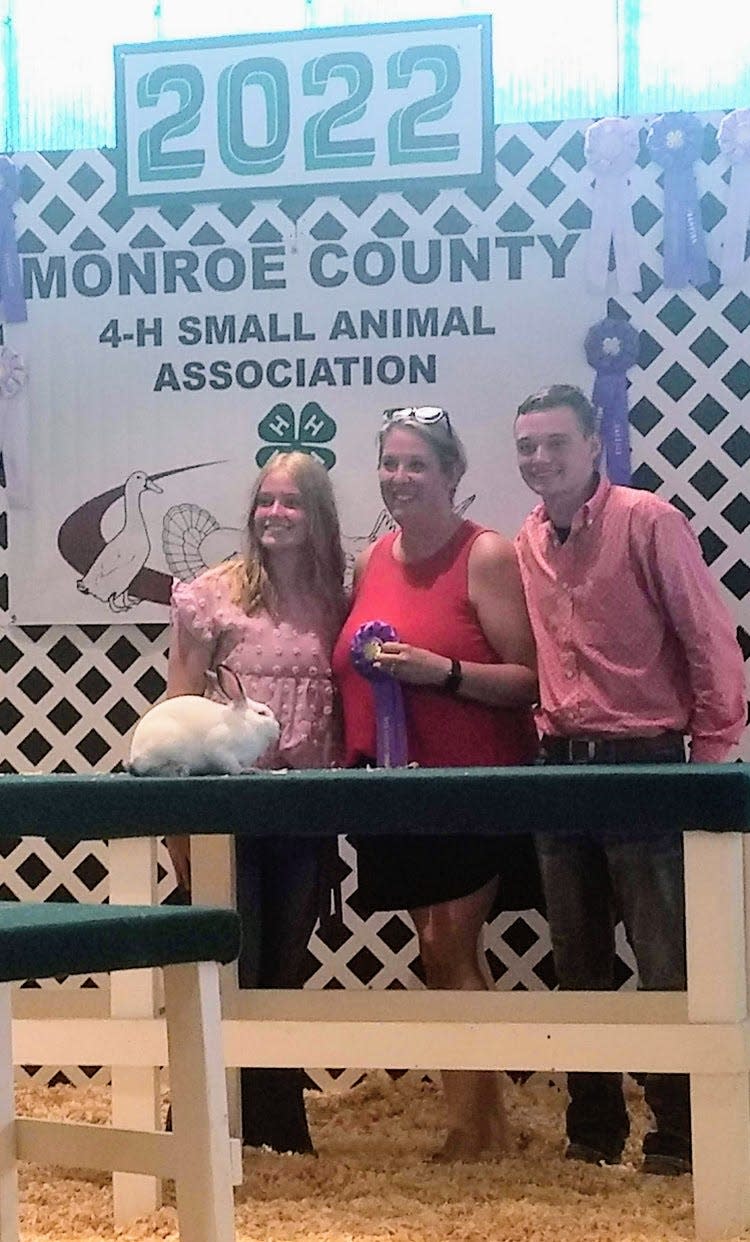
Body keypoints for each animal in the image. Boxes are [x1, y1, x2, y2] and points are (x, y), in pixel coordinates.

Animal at [127, 665, 279, 770]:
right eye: (262, 713)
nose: (278, 728)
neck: (245, 722)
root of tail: (134, 753)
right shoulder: (219, 748)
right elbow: (231, 765)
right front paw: (247, 771)